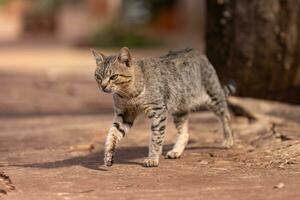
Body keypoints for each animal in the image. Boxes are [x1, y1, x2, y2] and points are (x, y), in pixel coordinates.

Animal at [91, 47, 234, 167]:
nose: (103, 86)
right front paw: (108, 155)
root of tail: (197, 51)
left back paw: (229, 139)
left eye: (114, 77)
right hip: (179, 108)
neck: (127, 94)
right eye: (98, 77)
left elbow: (156, 137)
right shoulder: (124, 114)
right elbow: (112, 134)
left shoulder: (158, 112)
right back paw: (176, 151)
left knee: (226, 115)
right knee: (185, 133)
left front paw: (153, 158)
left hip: (213, 97)